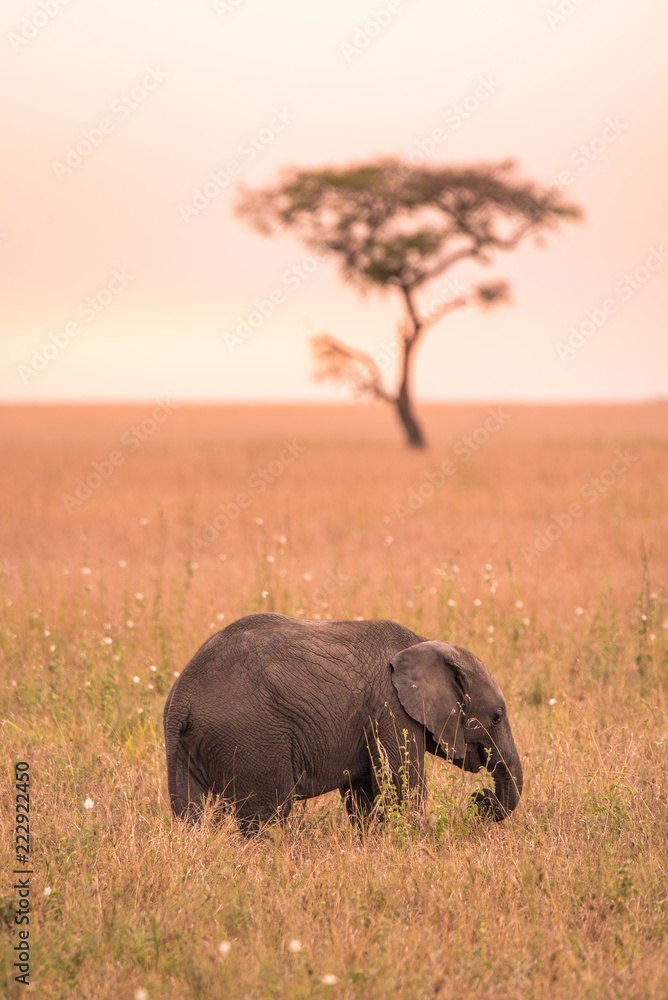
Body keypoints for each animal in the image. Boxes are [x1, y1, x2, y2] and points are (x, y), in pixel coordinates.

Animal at [163, 612, 522, 833]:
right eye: (497, 716)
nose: (481, 799)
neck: (422, 644)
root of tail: (182, 700)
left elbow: (364, 797)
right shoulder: (391, 710)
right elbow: (403, 787)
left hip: (186, 746)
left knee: (191, 814)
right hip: (252, 739)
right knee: (267, 816)